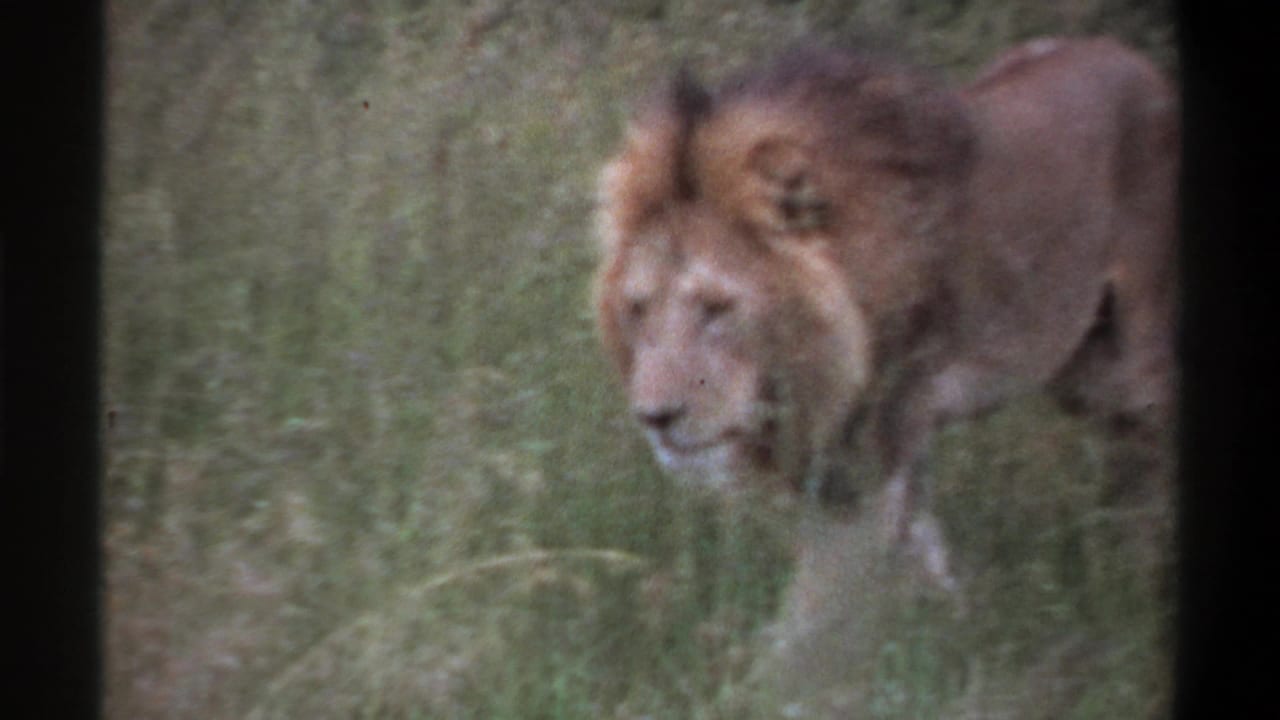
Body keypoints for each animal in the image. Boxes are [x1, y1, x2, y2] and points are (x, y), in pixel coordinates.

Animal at [594, 37, 1178, 591]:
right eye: (638, 308)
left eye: (716, 308)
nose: (656, 418)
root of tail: (1131, 58)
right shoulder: (830, 455)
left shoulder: (904, 413)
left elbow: (897, 557)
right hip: (1081, 373)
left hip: (1136, 366)